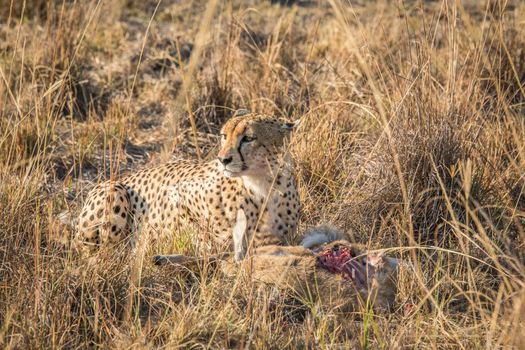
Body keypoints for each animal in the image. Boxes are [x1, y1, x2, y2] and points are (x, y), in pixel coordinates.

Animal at [75, 112, 300, 260]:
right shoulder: (178, 195)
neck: (263, 184)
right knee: (97, 254)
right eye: (224, 136)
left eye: (249, 138)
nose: (223, 159)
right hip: (115, 191)